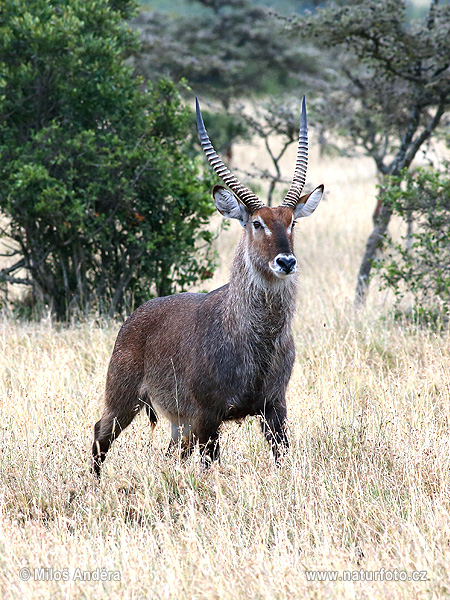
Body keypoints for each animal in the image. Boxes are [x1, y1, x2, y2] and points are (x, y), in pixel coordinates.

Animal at [92, 95, 324, 478]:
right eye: (257, 223)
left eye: (291, 222)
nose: (286, 262)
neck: (252, 338)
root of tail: (137, 314)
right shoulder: (207, 416)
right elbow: (210, 467)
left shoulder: (275, 407)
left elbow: (283, 457)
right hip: (124, 398)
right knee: (100, 433)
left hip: (178, 422)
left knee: (170, 453)